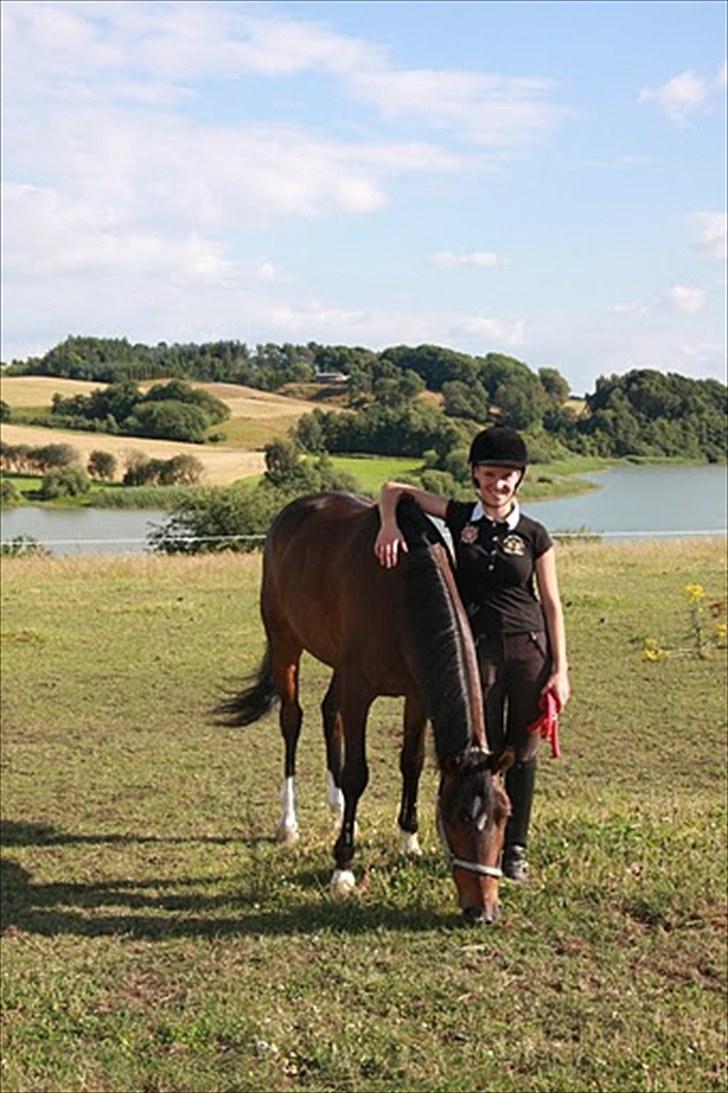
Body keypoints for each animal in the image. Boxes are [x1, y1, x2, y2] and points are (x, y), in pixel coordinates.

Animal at [218, 491, 513, 925]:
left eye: (503, 815)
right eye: (459, 815)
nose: (484, 911)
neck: (403, 584)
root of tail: (294, 510)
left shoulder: (417, 695)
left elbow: (412, 762)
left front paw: (409, 839)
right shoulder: (360, 691)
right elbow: (358, 773)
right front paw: (342, 868)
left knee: (328, 712)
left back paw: (338, 804)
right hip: (286, 641)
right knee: (293, 721)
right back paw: (289, 823)